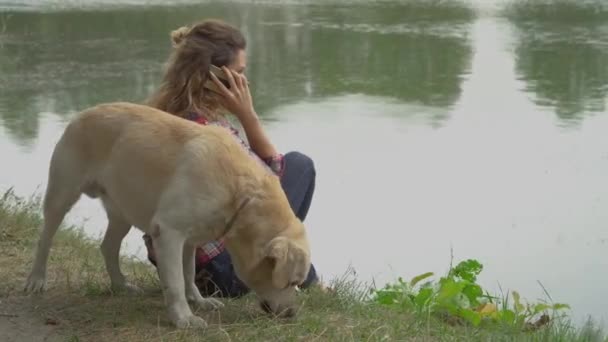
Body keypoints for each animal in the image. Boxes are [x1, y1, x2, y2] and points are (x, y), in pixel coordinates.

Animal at [23, 101, 312, 328]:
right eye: (292, 281)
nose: (291, 314)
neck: (240, 193)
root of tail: (82, 113)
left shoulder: (190, 240)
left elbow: (188, 274)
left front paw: (199, 301)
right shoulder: (169, 232)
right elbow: (174, 281)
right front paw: (184, 318)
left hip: (123, 211)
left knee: (108, 247)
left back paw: (121, 285)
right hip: (62, 194)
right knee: (45, 238)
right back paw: (36, 280)